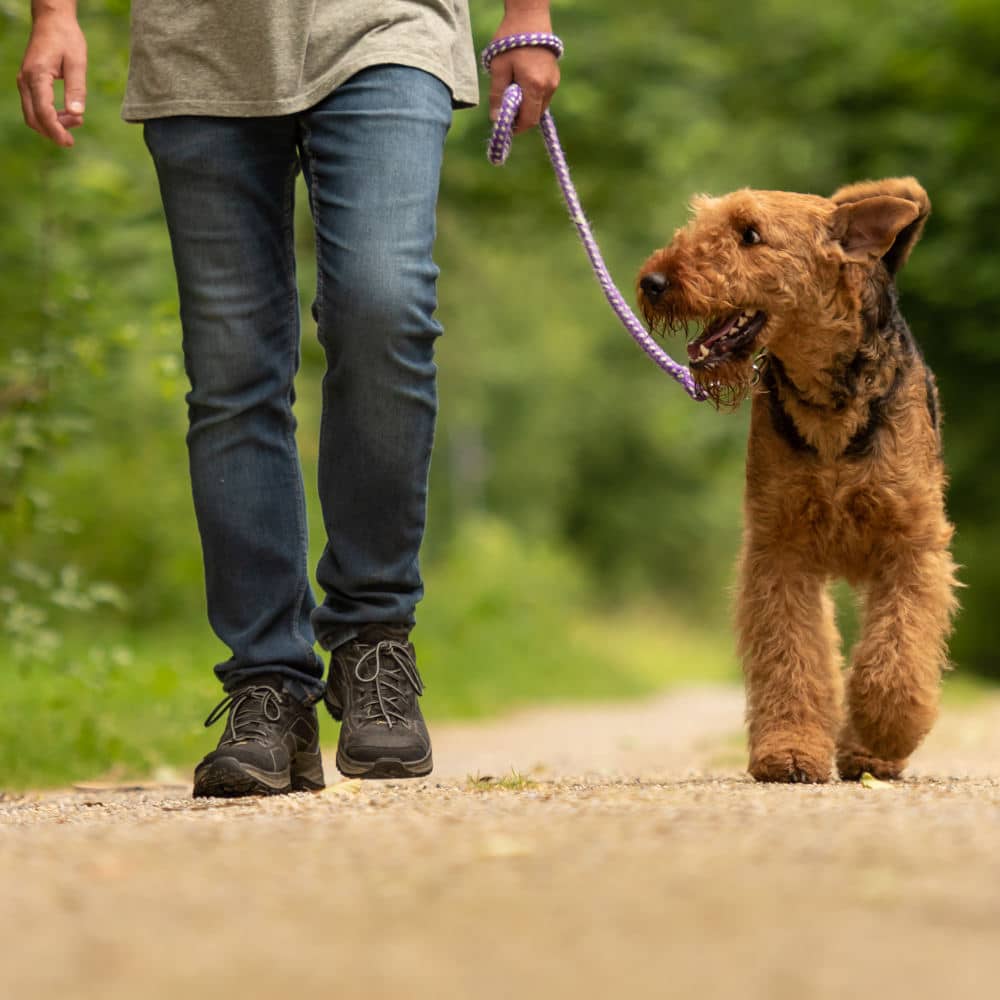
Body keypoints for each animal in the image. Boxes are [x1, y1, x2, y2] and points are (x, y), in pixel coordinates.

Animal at [636, 182, 956, 788]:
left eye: (750, 233)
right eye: (703, 222)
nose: (653, 281)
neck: (828, 405)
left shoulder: (911, 545)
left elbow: (895, 659)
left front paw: (880, 733)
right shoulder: (780, 548)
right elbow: (790, 657)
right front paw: (788, 752)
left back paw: (871, 753)